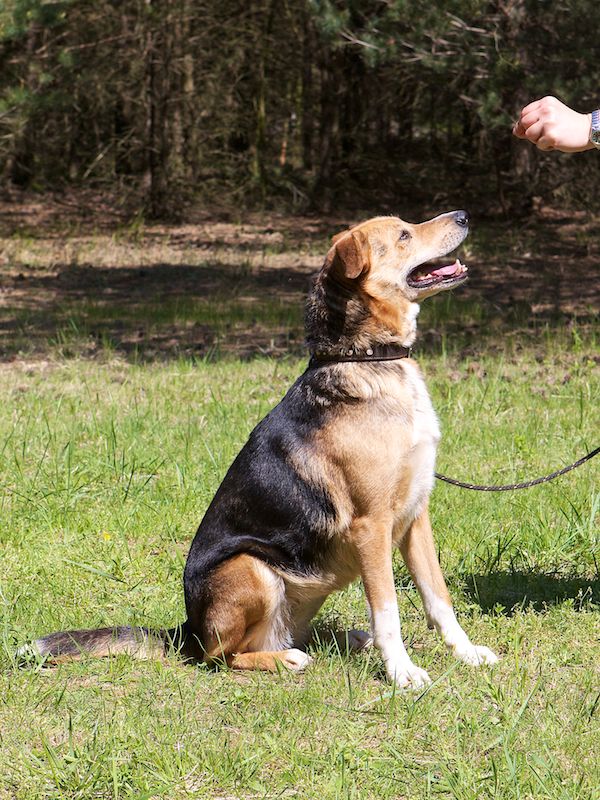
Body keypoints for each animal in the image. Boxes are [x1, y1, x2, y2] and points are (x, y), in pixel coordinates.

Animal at [24, 211, 498, 688]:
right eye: (404, 235)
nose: (463, 215)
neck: (369, 358)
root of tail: (186, 631)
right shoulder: (372, 525)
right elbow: (388, 612)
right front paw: (401, 671)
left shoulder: (415, 516)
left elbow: (439, 598)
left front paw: (466, 654)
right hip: (252, 568)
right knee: (222, 656)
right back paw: (287, 659)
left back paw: (347, 640)